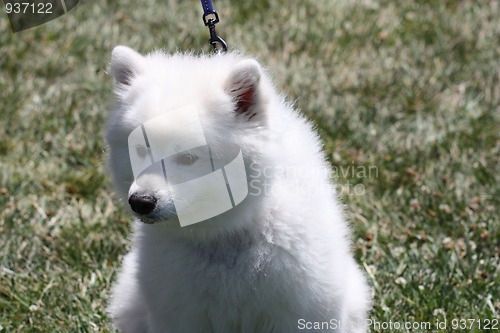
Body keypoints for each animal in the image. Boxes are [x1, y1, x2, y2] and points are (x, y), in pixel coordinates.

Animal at [106, 44, 372, 332]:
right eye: (140, 150)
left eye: (188, 158)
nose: (140, 202)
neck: (226, 236)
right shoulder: (181, 315)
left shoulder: (296, 312)